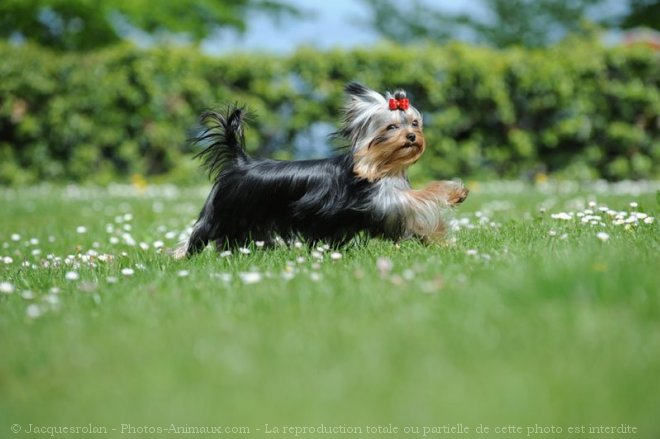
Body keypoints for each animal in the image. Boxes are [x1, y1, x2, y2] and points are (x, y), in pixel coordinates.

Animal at [173, 82, 466, 258]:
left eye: (414, 123)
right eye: (391, 127)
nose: (412, 137)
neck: (382, 167)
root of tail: (240, 161)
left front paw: (443, 241)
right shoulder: (381, 204)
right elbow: (421, 197)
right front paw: (454, 192)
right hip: (222, 211)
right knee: (199, 233)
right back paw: (179, 257)